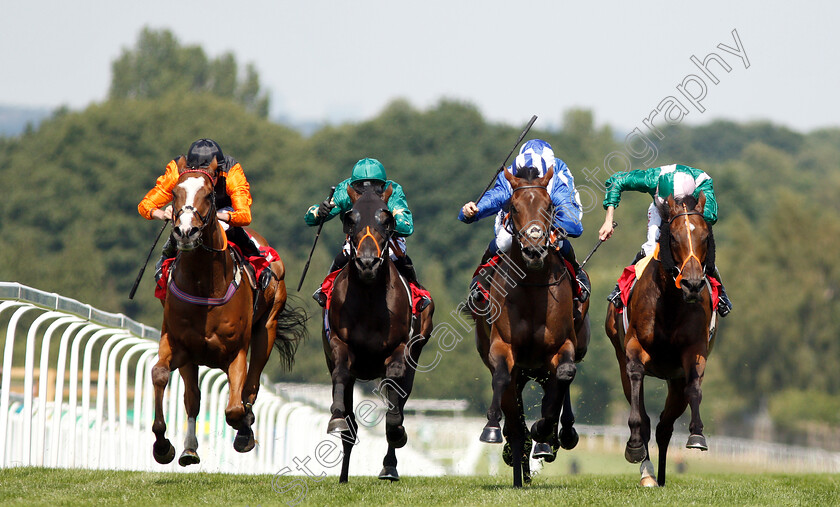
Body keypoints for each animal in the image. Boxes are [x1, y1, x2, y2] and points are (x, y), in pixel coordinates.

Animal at [151, 158, 306, 468]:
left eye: (209, 194)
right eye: (174, 192)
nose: (185, 232)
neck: (204, 286)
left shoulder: (236, 352)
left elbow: (235, 407)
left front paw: (244, 429)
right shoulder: (179, 345)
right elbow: (161, 375)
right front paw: (163, 445)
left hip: (267, 329)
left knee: (251, 385)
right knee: (193, 398)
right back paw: (189, 449)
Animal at [324, 184, 436, 484]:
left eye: (387, 220)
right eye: (350, 218)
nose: (367, 263)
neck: (369, 300)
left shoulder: (400, 348)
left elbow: (394, 401)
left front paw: (397, 433)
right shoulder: (339, 343)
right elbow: (341, 375)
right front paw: (336, 418)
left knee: (398, 397)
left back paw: (389, 466)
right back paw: (343, 475)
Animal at [472, 169, 592, 490]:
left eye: (549, 206)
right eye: (513, 207)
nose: (535, 249)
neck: (531, 287)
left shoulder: (561, 347)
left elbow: (565, 375)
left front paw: (545, 430)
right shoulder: (502, 348)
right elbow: (502, 379)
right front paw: (492, 427)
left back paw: (553, 437)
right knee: (514, 418)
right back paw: (519, 469)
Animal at [608, 193, 720, 488]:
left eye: (705, 237)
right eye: (675, 237)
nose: (692, 284)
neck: (669, 301)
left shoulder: (694, 351)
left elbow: (695, 387)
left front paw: (697, 435)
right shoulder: (634, 347)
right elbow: (637, 384)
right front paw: (634, 445)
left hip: (674, 381)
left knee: (664, 427)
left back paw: (660, 476)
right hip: (620, 360)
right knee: (648, 419)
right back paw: (647, 473)